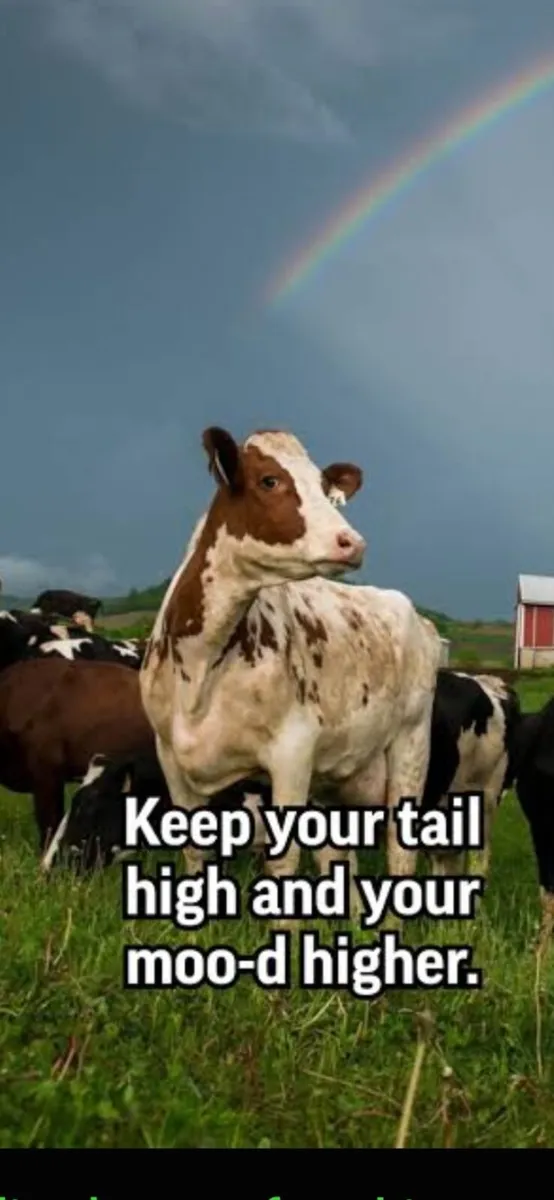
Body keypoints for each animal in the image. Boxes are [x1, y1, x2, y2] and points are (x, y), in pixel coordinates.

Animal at [139, 426, 442, 924]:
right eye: (269, 480)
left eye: (323, 487)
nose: (352, 542)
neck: (201, 667)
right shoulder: (169, 752)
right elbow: (194, 850)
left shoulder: (292, 751)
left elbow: (283, 860)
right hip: (338, 774)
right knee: (339, 855)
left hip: (412, 741)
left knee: (401, 850)